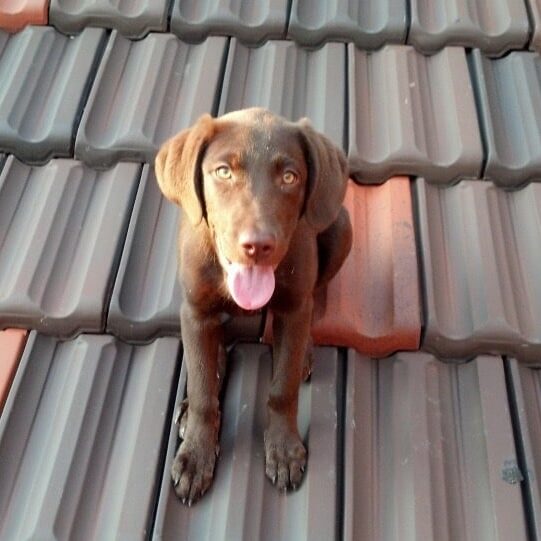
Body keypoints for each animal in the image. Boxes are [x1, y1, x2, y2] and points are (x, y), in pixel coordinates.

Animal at [154, 107, 352, 504]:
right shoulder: (195, 313)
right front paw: (197, 454)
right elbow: (203, 390)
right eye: (223, 172)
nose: (257, 245)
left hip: (341, 226)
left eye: (290, 177)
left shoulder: (293, 309)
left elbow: (282, 388)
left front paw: (284, 448)